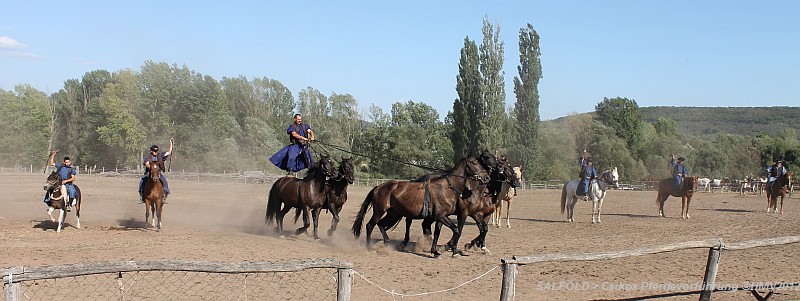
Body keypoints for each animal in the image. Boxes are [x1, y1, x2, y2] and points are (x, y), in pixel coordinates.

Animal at [354, 155, 490, 255]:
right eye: (474, 162)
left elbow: (437, 233)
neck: (447, 187)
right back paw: (368, 247)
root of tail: (378, 187)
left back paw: (387, 243)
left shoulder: (441, 217)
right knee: (370, 225)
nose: (487, 177)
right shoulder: (444, 215)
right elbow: (457, 230)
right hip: (379, 211)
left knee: (381, 224)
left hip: (393, 214)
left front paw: (436, 251)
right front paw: (452, 250)